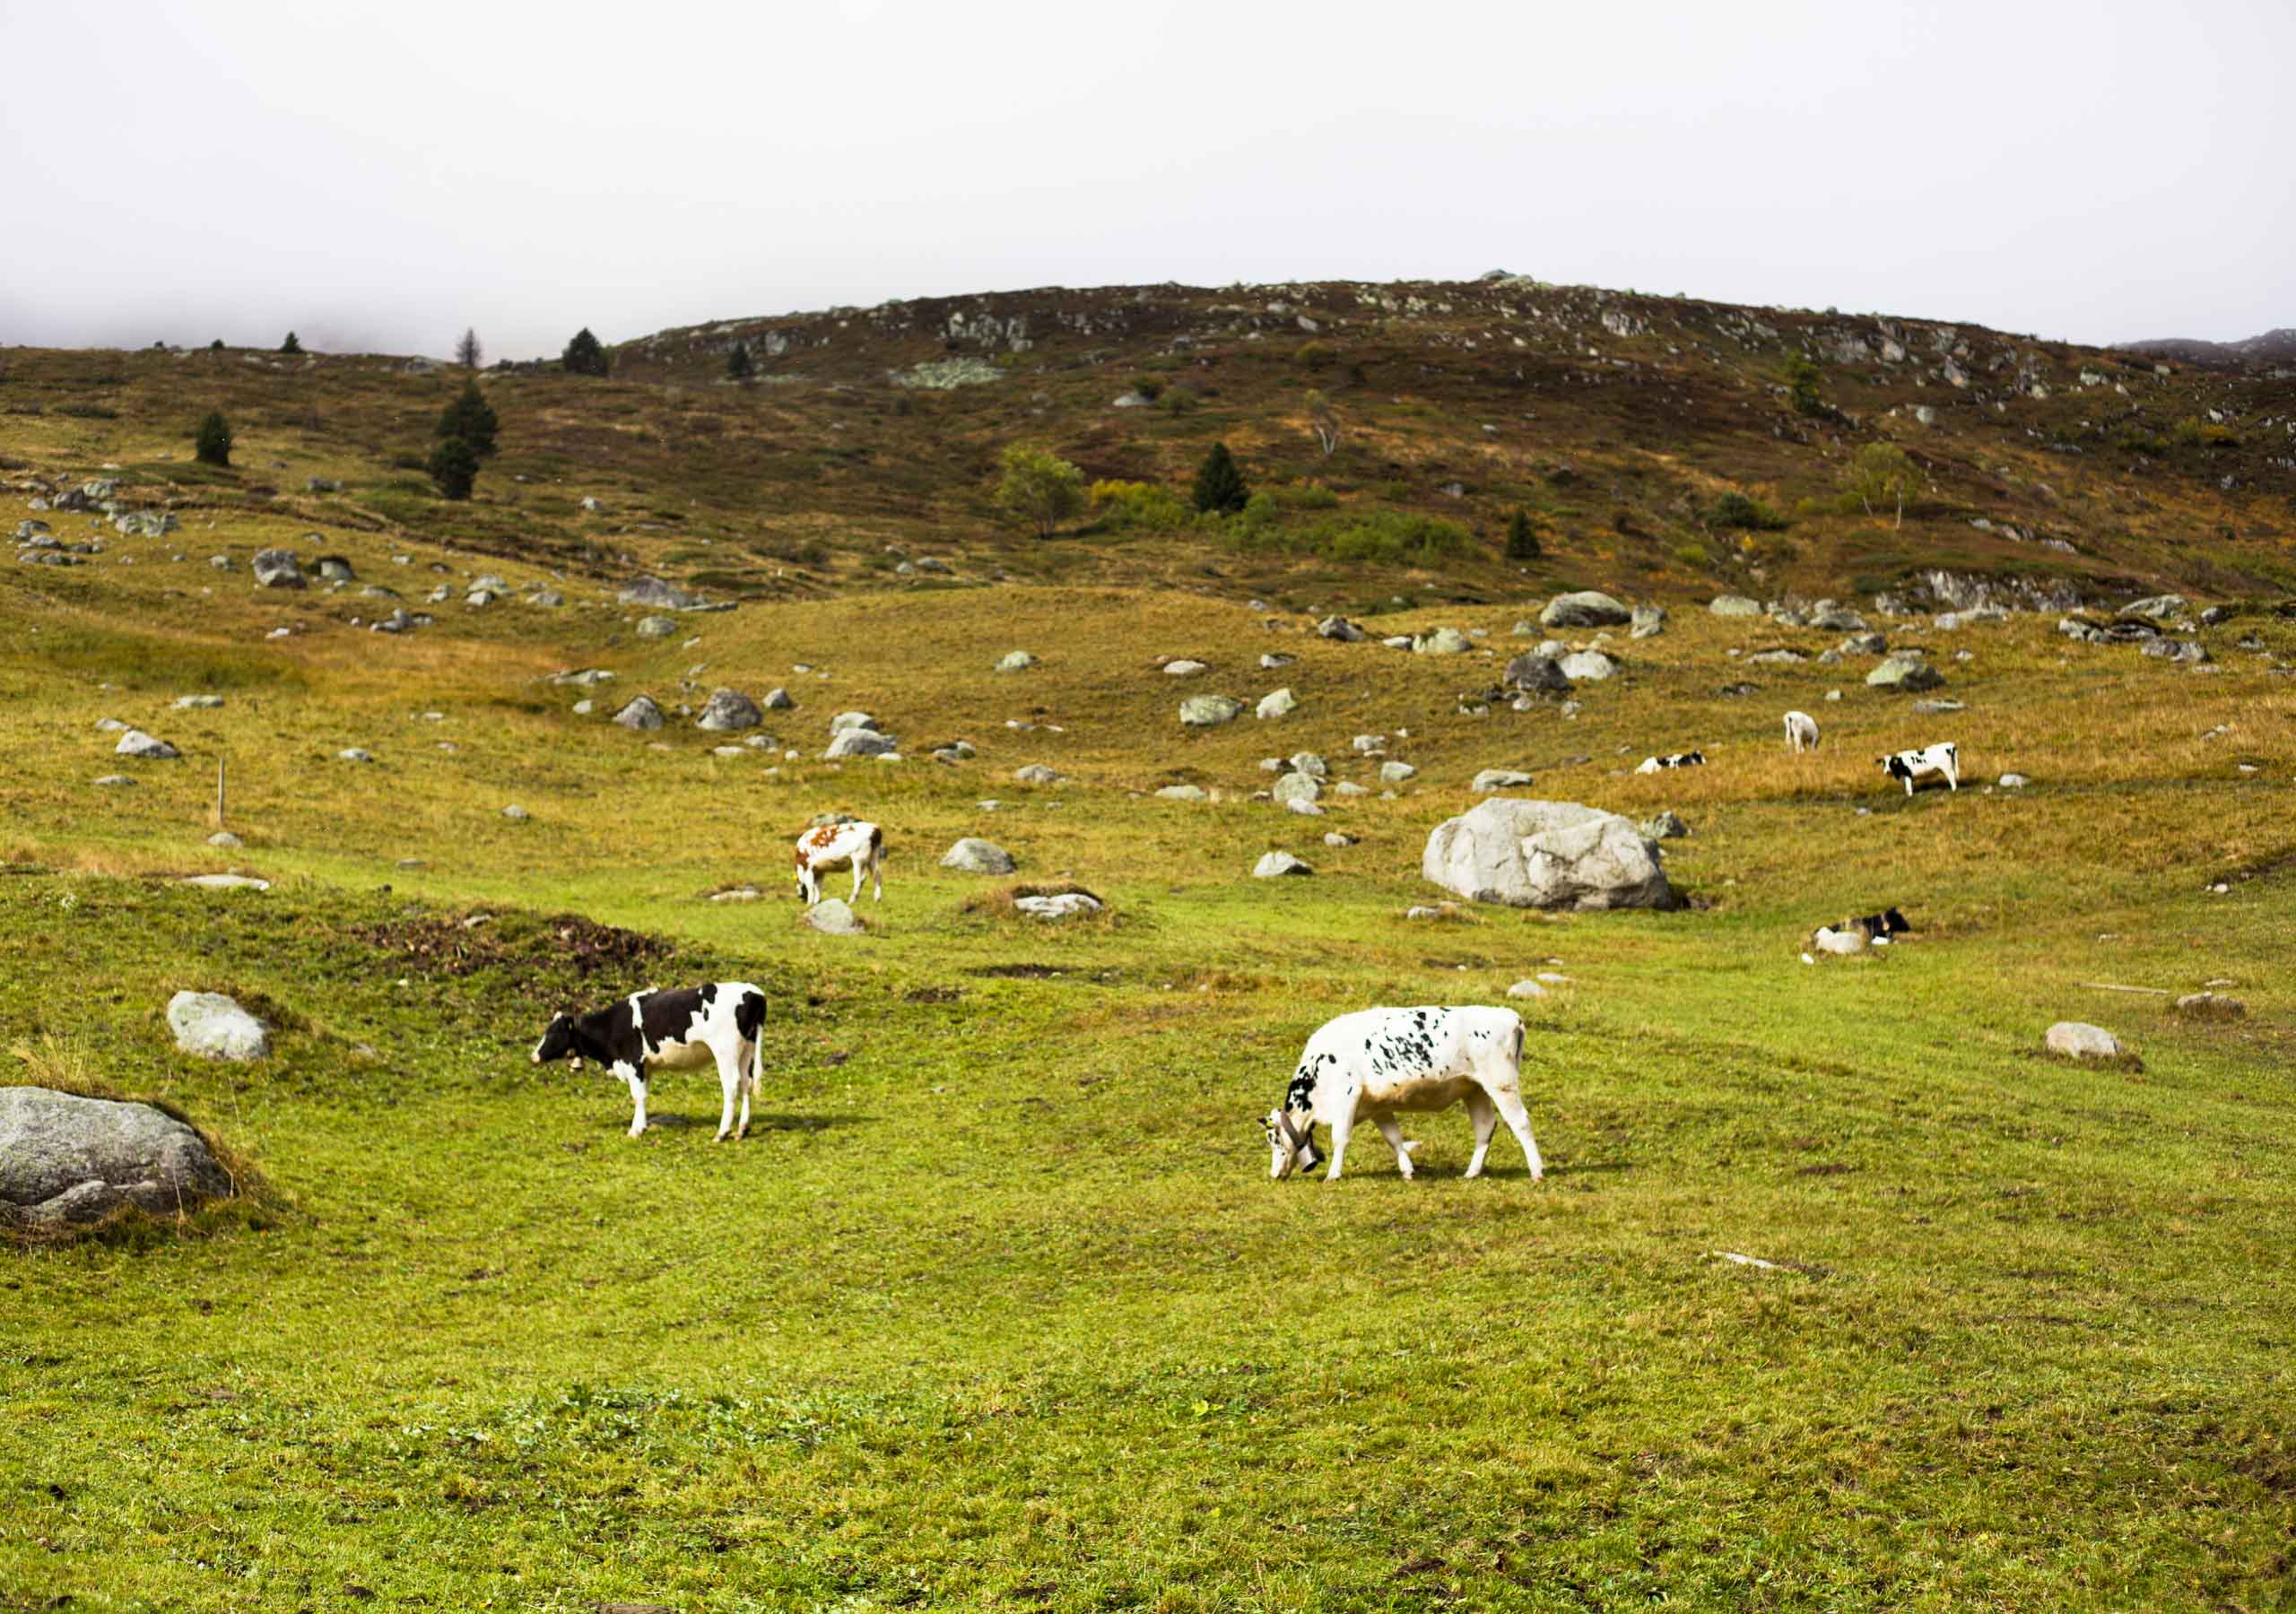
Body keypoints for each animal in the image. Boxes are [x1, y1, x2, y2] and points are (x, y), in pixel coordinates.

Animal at [530, 977, 771, 1143]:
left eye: (554, 1032)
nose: (534, 1056)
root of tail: (755, 993)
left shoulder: (633, 1062)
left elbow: (637, 1096)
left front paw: (635, 1130)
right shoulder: (646, 1066)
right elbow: (644, 1095)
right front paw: (642, 1126)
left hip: (725, 1051)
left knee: (731, 1086)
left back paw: (722, 1133)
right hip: (746, 1050)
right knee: (745, 1083)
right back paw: (742, 1130)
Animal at [1267, 1010, 1552, 1184]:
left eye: (1274, 1140)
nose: (1273, 1174)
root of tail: (1509, 1015)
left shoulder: (1347, 1095)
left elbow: (1340, 1138)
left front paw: (1333, 1174)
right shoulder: (1377, 1106)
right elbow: (1393, 1138)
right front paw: (1407, 1170)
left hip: (1501, 1084)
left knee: (1520, 1122)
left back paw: (1536, 1171)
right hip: (1475, 1088)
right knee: (1484, 1127)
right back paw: (1471, 1172)